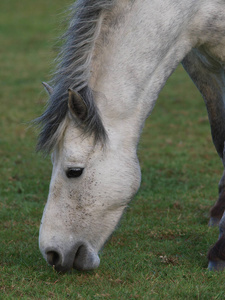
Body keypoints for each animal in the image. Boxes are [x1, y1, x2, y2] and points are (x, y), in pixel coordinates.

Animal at [36, 0, 225, 272]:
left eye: (74, 171)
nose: (52, 254)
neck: (195, 9)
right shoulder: (201, 61)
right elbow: (220, 136)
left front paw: (220, 251)